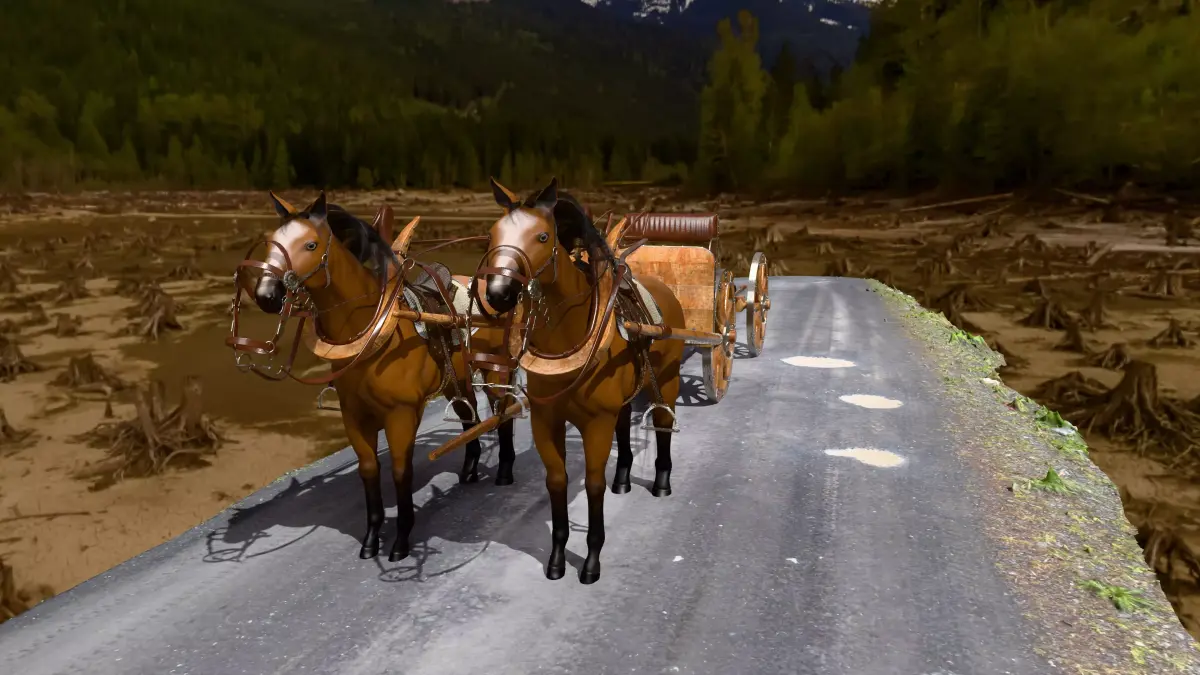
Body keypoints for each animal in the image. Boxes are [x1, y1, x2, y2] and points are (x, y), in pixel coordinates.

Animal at [247, 191, 517, 563]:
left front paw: (401, 540)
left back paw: (504, 472)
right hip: (454, 379)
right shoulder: (354, 417)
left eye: (311, 244)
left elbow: (401, 471)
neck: (372, 337)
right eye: (273, 240)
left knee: (503, 412)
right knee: (469, 416)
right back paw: (469, 469)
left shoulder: (400, 415)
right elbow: (369, 470)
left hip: (494, 367)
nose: (266, 294)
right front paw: (371, 538)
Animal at [475, 176, 686, 584]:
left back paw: (662, 483)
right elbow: (557, 481)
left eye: (542, 236)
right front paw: (557, 559)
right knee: (626, 421)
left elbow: (592, 483)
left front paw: (591, 562)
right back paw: (624, 478)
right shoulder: (547, 420)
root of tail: (664, 288)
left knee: (663, 421)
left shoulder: (595, 422)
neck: (567, 340)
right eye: (492, 233)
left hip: (667, 379)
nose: (498, 294)